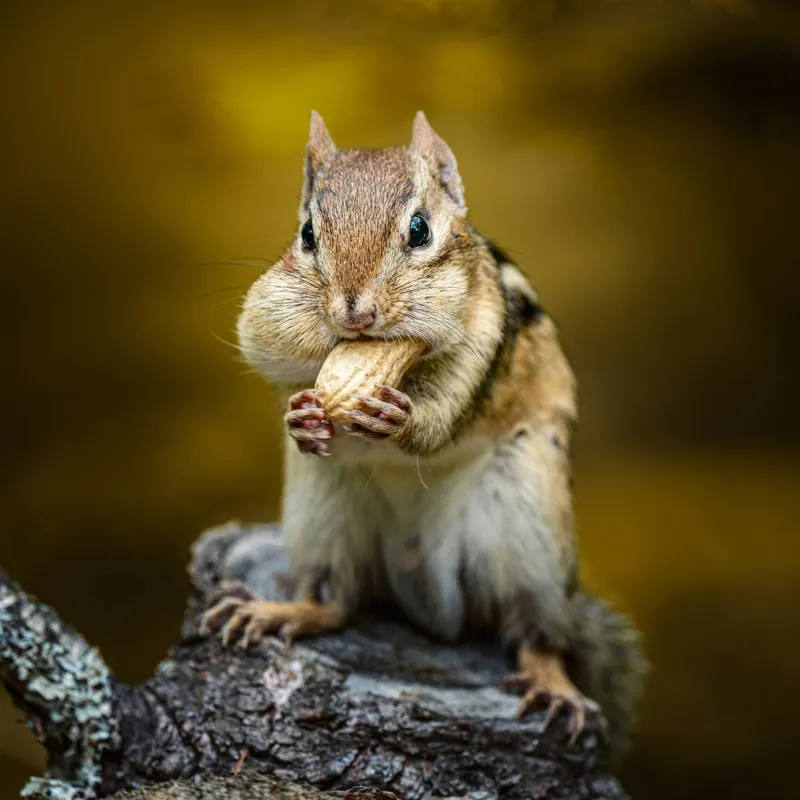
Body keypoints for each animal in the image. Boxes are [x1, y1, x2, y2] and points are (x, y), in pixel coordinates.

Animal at [200, 111, 647, 757]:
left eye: (419, 229)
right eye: (307, 234)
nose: (355, 313)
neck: (392, 361)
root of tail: (425, 587)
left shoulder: (484, 337)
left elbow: (442, 421)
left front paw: (402, 419)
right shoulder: (268, 315)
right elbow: (267, 354)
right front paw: (302, 415)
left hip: (527, 528)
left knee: (535, 634)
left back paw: (553, 683)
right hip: (324, 514)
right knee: (339, 602)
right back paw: (280, 612)